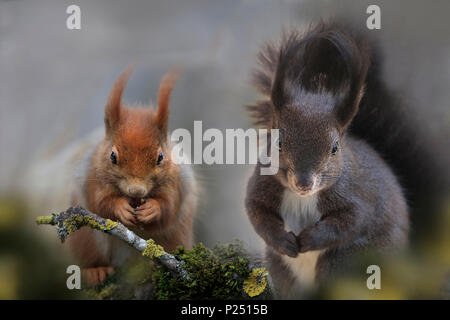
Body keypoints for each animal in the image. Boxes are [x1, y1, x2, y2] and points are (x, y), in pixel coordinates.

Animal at [68, 66, 197, 284]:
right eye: (112, 156)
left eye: (160, 157)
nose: (136, 191)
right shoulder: (93, 177)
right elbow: (101, 203)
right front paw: (120, 208)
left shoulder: (176, 182)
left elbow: (169, 206)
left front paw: (152, 209)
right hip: (86, 240)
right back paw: (95, 271)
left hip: (176, 237)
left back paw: (155, 264)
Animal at [246, 21, 414, 298]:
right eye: (278, 142)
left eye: (335, 148)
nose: (304, 183)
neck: (303, 198)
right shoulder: (261, 184)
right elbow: (257, 212)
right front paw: (284, 241)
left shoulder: (357, 194)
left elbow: (351, 221)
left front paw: (309, 240)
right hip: (280, 269)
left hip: (345, 261)